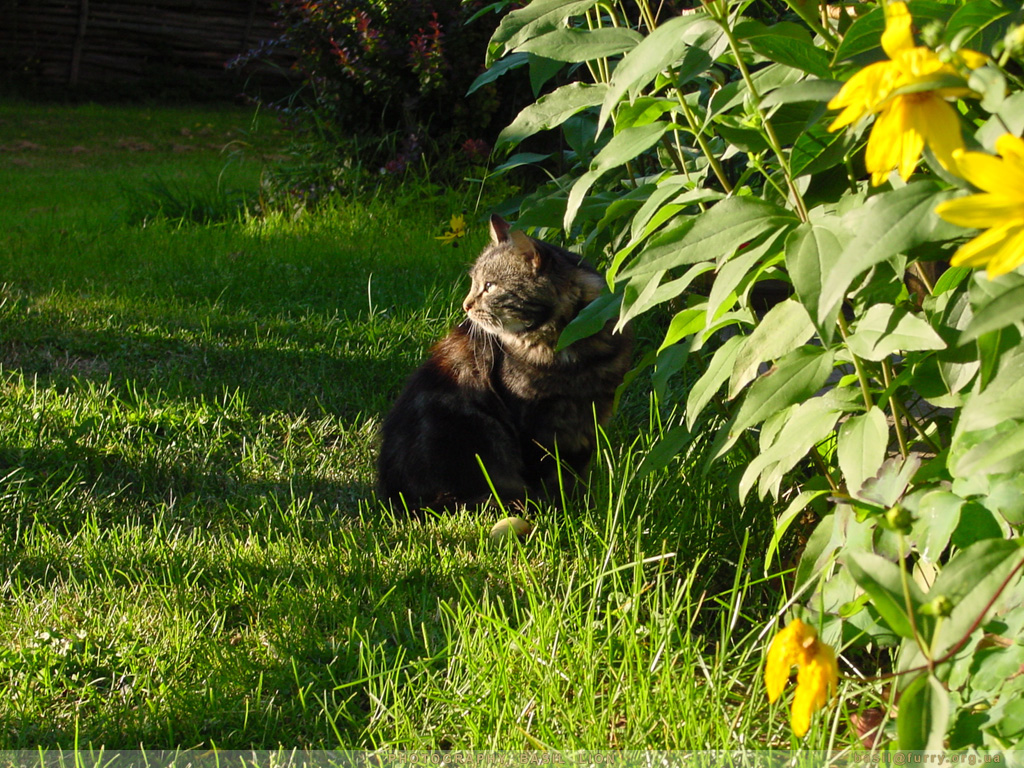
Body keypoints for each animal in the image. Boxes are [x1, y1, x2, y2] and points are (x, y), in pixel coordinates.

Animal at [376, 214, 630, 514]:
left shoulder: (591, 417)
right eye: (475, 283)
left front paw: (579, 504)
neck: (567, 352)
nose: (466, 305)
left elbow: (575, 473)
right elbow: (545, 474)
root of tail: (398, 498)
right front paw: (556, 509)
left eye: (490, 286)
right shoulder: (531, 422)